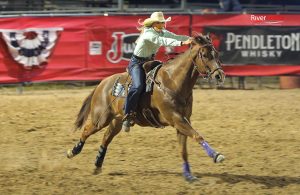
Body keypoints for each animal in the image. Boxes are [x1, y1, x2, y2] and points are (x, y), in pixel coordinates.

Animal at [66, 33, 225, 181]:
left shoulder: (183, 120)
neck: (172, 81)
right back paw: (72, 152)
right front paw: (216, 155)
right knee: (86, 131)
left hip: (117, 120)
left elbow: (183, 149)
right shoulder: (175, 118)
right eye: (204, 55)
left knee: (106, 138)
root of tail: (102, 83)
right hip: (100, 118)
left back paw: (97, 165)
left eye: (216, 53)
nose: (219, 75)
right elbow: (197, 135)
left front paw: (188, 175)